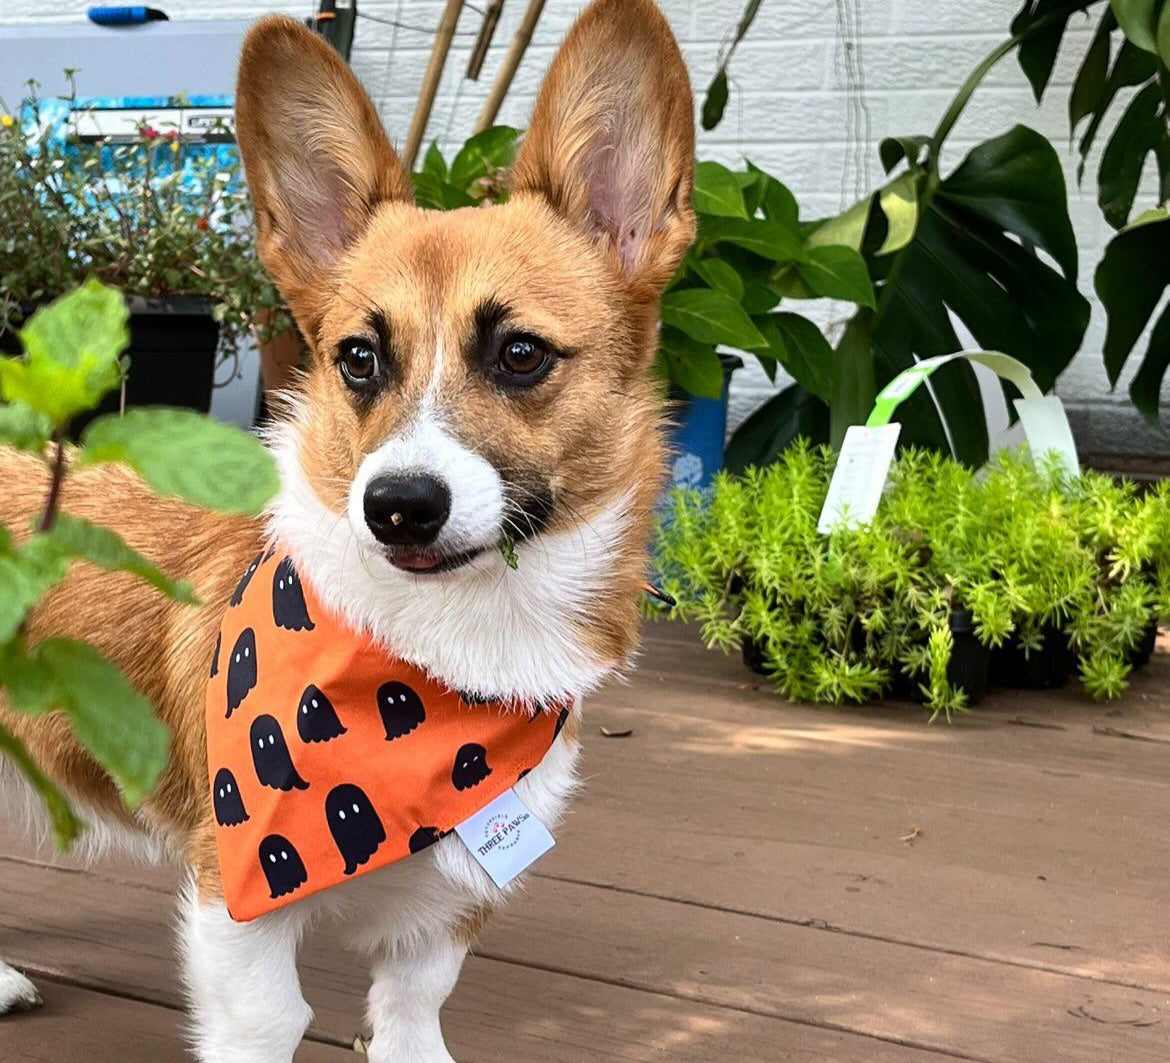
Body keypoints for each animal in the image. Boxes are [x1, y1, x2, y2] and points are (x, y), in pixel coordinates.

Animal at [0, 0, 692, 1057]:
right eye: (358, 358)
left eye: (521, 353)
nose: (399, 502)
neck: (444, 656)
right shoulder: (238, 906)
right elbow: (272, 1016)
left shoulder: (442, 919)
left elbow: (413, 1014)